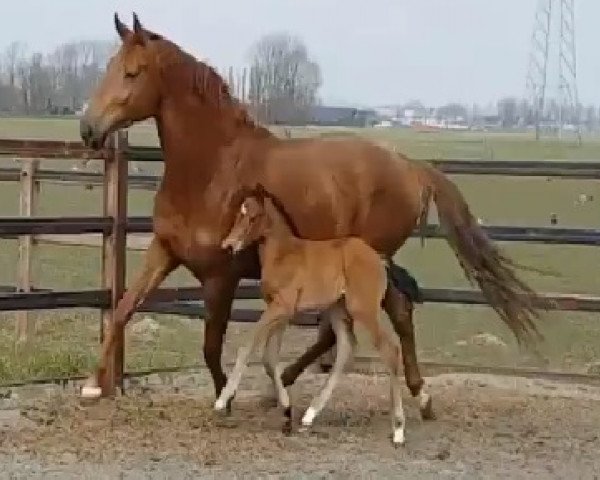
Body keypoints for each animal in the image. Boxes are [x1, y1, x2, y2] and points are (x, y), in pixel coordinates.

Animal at [213, 185, 406, 446]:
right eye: (237, 214)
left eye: (252, 216)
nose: (229, 245)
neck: (283, 254)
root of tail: (378, 257)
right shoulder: (281, 312)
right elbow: (269, 359)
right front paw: (286, 413)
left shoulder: (280, 307)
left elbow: (247, 346)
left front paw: (222, 401)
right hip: (337, 309)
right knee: (346, 348)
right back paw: (309, 415)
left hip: (364, 309)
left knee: (390, 350)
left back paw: (398, 430)